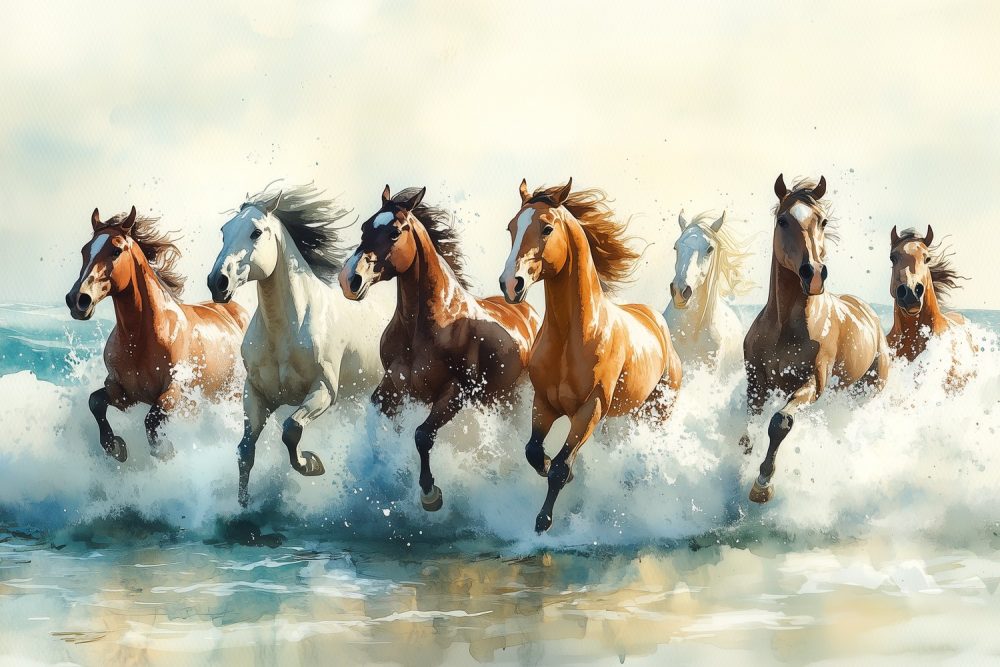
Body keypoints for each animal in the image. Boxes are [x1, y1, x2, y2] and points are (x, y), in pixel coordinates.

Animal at [65, 207, 249, 462]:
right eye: (84, 250)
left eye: (116, 250)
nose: (77, 299)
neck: (141, 339)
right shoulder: (123, 394)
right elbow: (96, 401)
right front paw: (115, 447)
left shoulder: (175, 394)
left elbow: (151, 419)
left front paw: (164, 450)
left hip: (232, 394)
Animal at [207, 184, 393, 507]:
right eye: (224, 231)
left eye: (256, 232)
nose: (218, 282)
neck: (286, 332)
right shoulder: (256, 393)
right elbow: (245, 450)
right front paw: (243, 504)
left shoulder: (323, 390)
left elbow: (291, 430)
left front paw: (312, 463)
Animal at [338, 185, 540, 512]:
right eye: (364, 227)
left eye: (394, 232)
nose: (350, 279)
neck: (425, 327)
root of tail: (527, 312)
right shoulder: (392, 385)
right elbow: (376, 422)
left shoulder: (453, 393)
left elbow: (422, 435)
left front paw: (430, 492)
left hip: (513, 400)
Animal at [499, 178, 682, 533]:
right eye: (511, 227)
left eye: (546, 228)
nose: (510, 284)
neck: (574, 335)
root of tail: (656, 321)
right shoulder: (544, 403)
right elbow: (533, 452)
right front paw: (549, 466)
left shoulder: (590, 409)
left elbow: (560, 468)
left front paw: (543, 522)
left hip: (656, 412)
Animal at [741, 174, 890, 504]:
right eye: (782, 220)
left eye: (822, 221)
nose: (815, 273)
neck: (785, 328)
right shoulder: (756, 382)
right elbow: (746, 434)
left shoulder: (814, 382)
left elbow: (780, 422)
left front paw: (762, 484)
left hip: (865, 392)